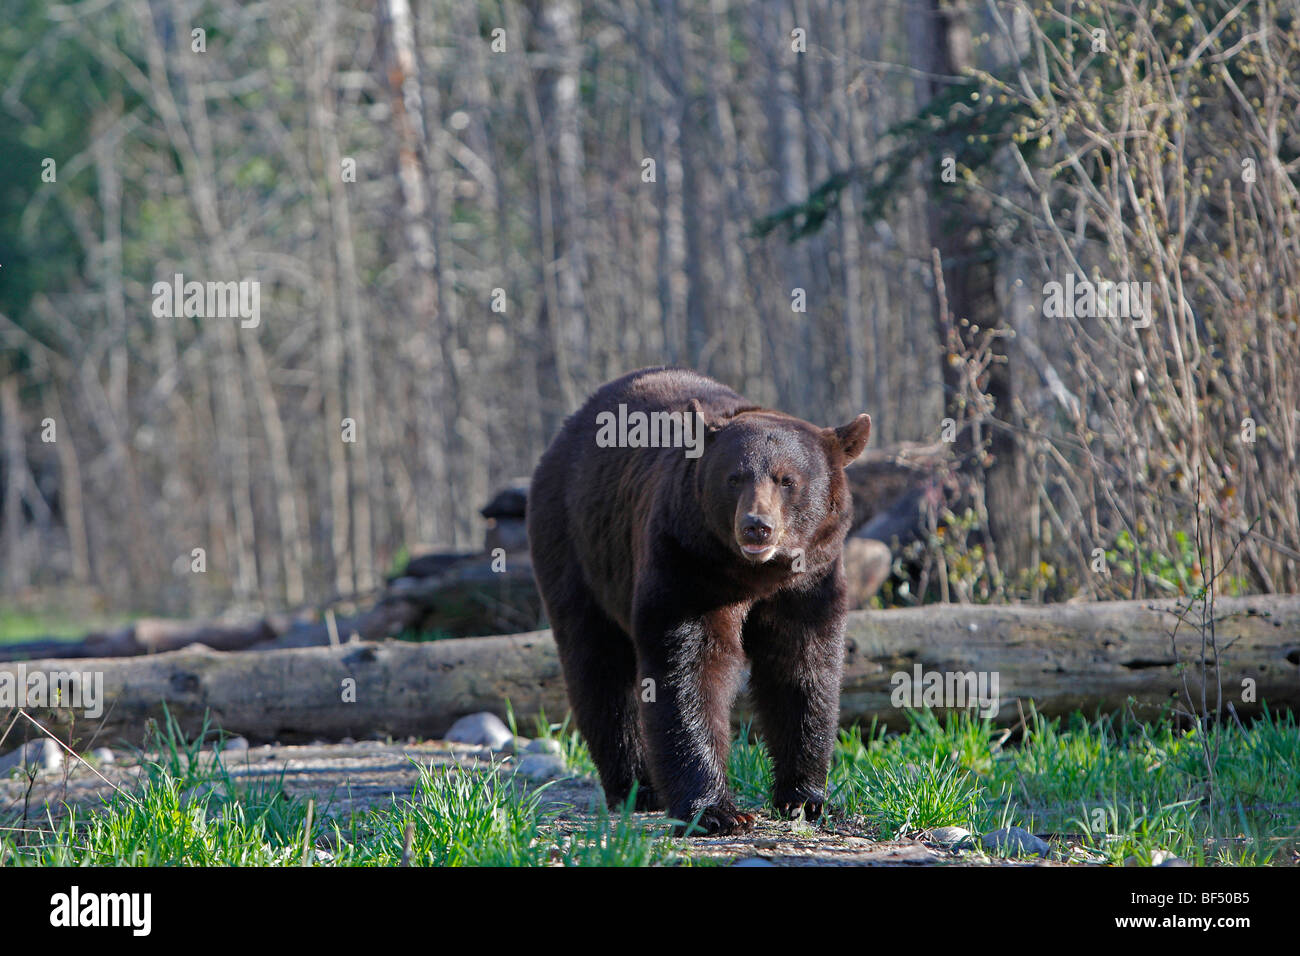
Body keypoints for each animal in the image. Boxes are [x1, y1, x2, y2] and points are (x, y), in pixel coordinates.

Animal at [522, 369, 868, 832]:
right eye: (735, 477)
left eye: (786, 479)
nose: (756, 526)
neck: (754, 576)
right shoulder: (687, 564)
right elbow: (689, 668)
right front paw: (716, 810)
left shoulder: (811, 579)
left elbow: (802, 668)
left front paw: (807, 798)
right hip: (575, 544)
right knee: (596, 665)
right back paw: (635, 786)